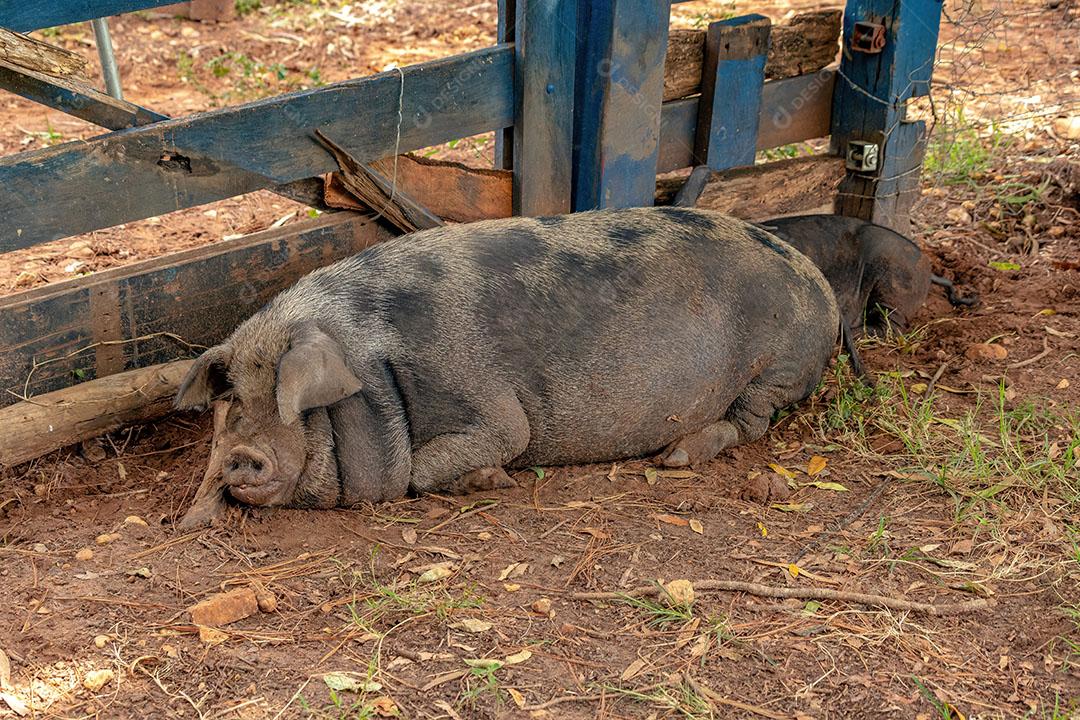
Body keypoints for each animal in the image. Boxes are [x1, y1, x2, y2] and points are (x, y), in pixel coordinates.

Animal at [174, 207, 839, 514]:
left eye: (294, 400)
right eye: (234, 400)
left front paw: (495, 480)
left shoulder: (491, 408)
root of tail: (822, 286)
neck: (375, 366)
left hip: (777, 366)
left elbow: (448, 459)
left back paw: (676, 456)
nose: (238, 456)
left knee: (750, 422)